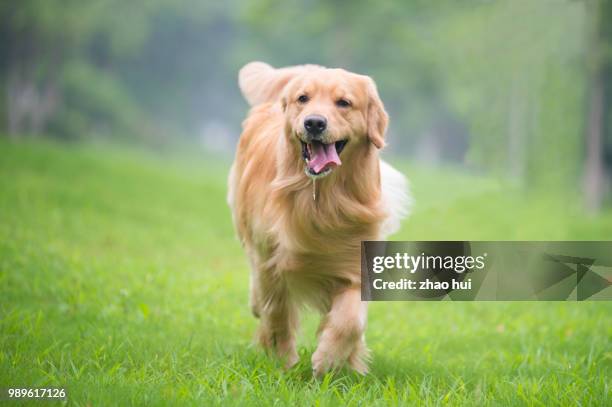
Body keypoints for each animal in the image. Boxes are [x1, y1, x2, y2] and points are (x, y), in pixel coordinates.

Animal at [227, 60, 408, 376]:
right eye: (303, 98)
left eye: (344, 102)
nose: (314, 123)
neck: (321, 197)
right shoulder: (271, 262)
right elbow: (277, 314)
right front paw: (282, 361)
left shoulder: (354, 262)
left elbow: (350, 322)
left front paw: (329, 360)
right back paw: (256, 305)